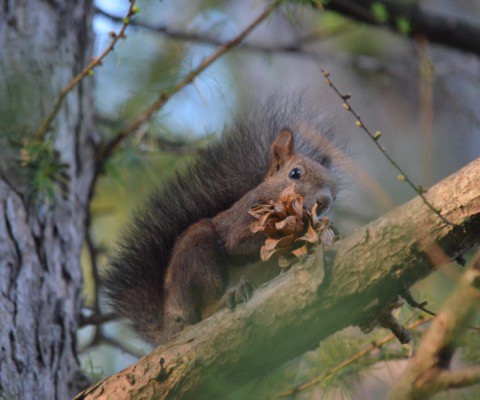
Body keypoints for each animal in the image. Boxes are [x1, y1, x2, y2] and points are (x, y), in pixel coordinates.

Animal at [104, 96, 338, 344]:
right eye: (295, 173)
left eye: (335, 192)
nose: (324, 201)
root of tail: (170, 320)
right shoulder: (239, 221)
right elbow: (238, 244)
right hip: (197, 251)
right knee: (205, 308)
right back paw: (229, 296)